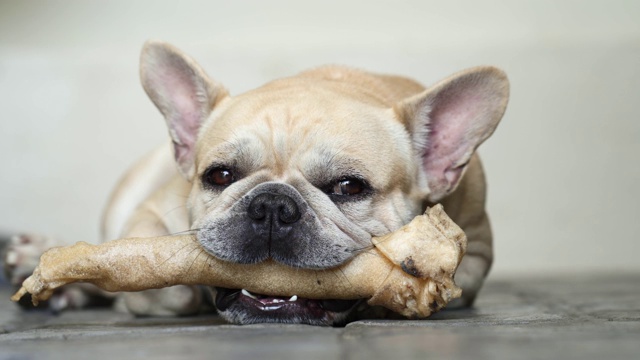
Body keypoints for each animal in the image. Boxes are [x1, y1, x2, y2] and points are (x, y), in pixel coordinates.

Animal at [2, 40, 508, 324]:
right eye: (220, 175)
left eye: (349, 187)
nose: (272, 205)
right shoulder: (149, 212)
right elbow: (157, 278)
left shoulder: (474, 255)